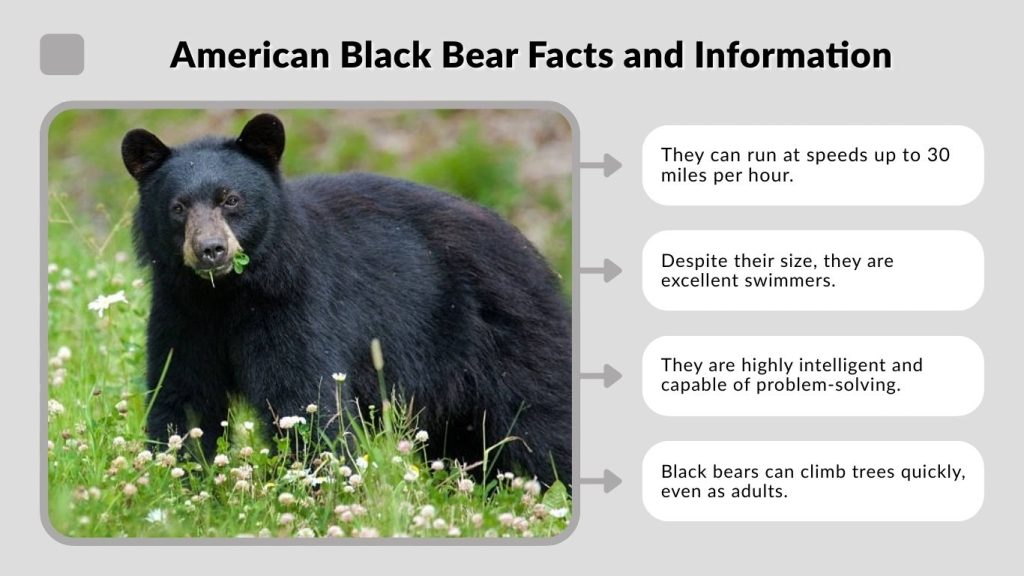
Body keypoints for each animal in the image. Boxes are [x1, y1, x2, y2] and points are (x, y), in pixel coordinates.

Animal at [122, 113, 572, 488]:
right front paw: (174, 483)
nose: (211, 250)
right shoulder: (182, 311)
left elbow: (305, 399)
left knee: (542, 421)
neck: (228, 294)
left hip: (509, 337)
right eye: (178, 207)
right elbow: (182, 394)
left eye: (231, 200)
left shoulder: (296, 304)